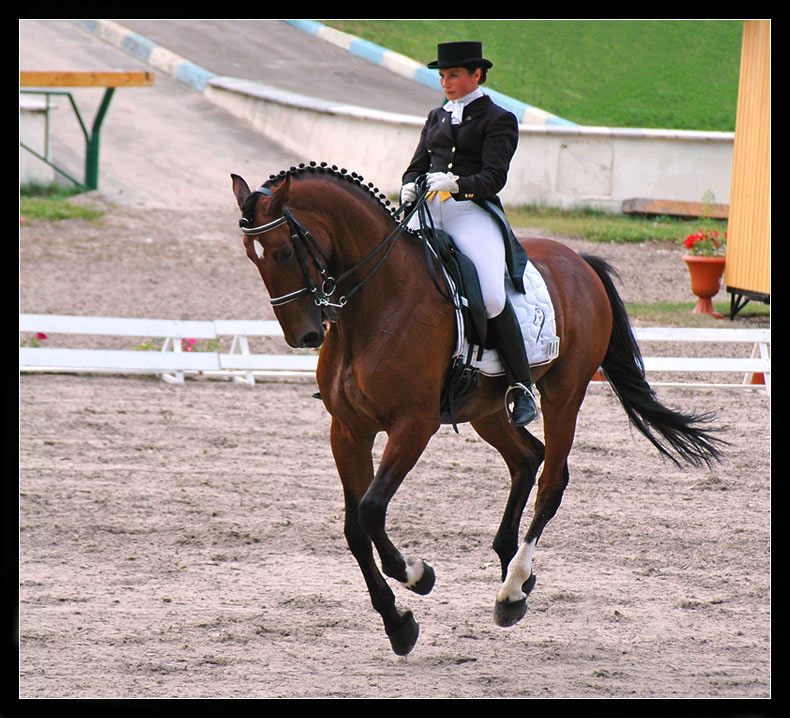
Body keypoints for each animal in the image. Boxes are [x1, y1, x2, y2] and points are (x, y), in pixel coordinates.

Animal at [230, 162, 724, 656]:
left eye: (282, 252)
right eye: (252, 257)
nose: (305, 336)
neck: (379, 303)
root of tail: (579, 260)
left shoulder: (413, 426)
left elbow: (371, 510)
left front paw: (418, 576)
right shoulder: (348, 429)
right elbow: (355, 528)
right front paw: (398, 624)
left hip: (564, 393)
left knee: (551, 481)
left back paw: (512, 588)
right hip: (488, 410)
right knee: (527, 458)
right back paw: (516, 573)